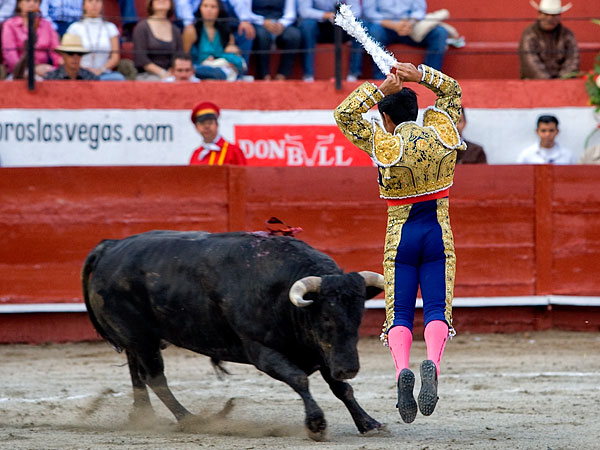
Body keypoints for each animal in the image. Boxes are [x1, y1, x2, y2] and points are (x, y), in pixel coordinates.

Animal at [82, 230, 386, 442]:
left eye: (359, 315)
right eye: (325, 317)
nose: (349, 368)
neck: (283, 297)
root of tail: (110, 246)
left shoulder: (322, 351)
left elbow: (341, 389)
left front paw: (369, 424)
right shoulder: (261, 351)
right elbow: (299, 379)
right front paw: (316, 425)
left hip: (136, 339)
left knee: (137, 374)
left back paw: (143, 416)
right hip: (142, 339)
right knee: (155, 378)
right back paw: (191, 419)